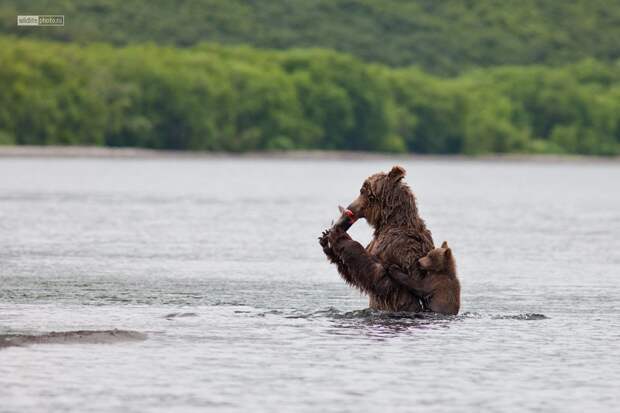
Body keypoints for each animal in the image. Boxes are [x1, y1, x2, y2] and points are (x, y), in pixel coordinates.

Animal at [320, 166, 436, 310]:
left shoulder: (400, 245)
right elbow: (355, 274)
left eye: (362, 191)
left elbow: (383, 280)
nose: (349, 208)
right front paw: (326, 242)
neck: (389, 222)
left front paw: (340, 236)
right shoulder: (374, 243)